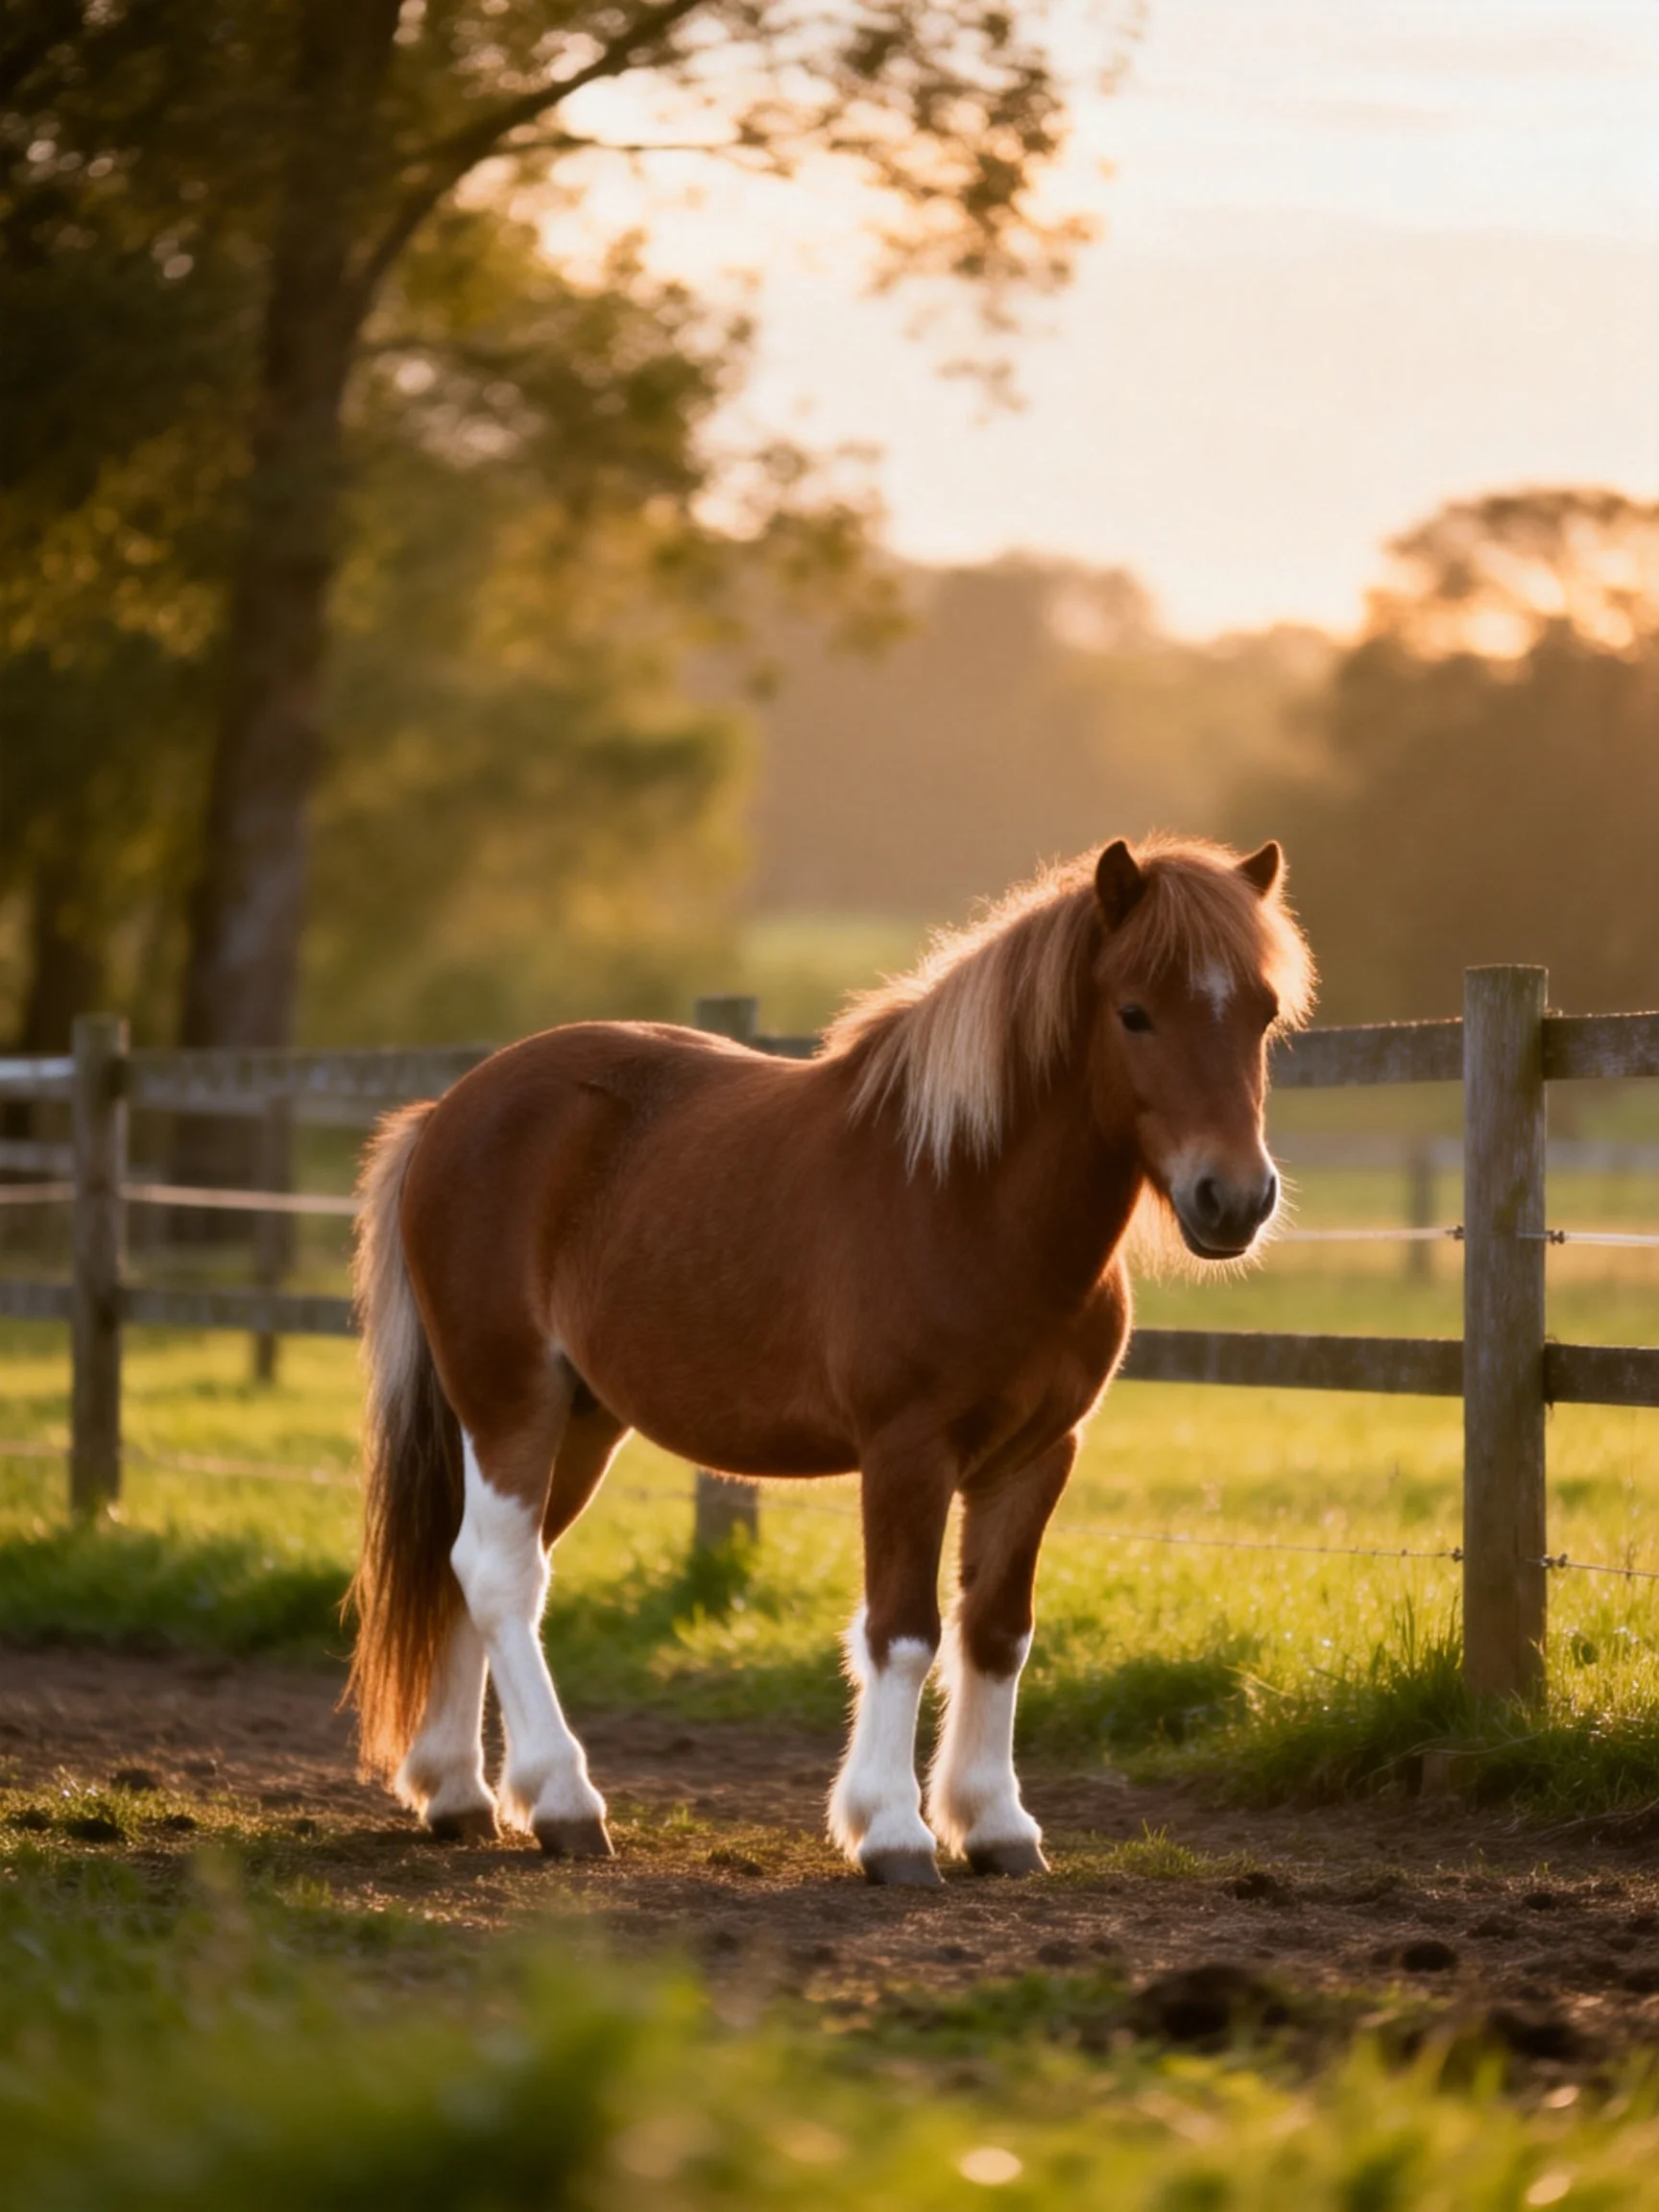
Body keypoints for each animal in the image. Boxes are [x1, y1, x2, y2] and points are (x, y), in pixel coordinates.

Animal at [345, 833, 1314, 1886]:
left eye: (1263, 1013)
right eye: (1135, 1012)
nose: (1234, 1198)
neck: (969, 1198)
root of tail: (449, 1109)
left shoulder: (1037, 1456)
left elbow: (997, 1632)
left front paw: (995, 1824)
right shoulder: (907, 1451)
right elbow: (903, 1632)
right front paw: (892, 1830)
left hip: (581, 1420)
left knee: (466, 1571)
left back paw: (456, 1793)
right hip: (507, 1398)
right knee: (498, 1574)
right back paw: (562, 1801)